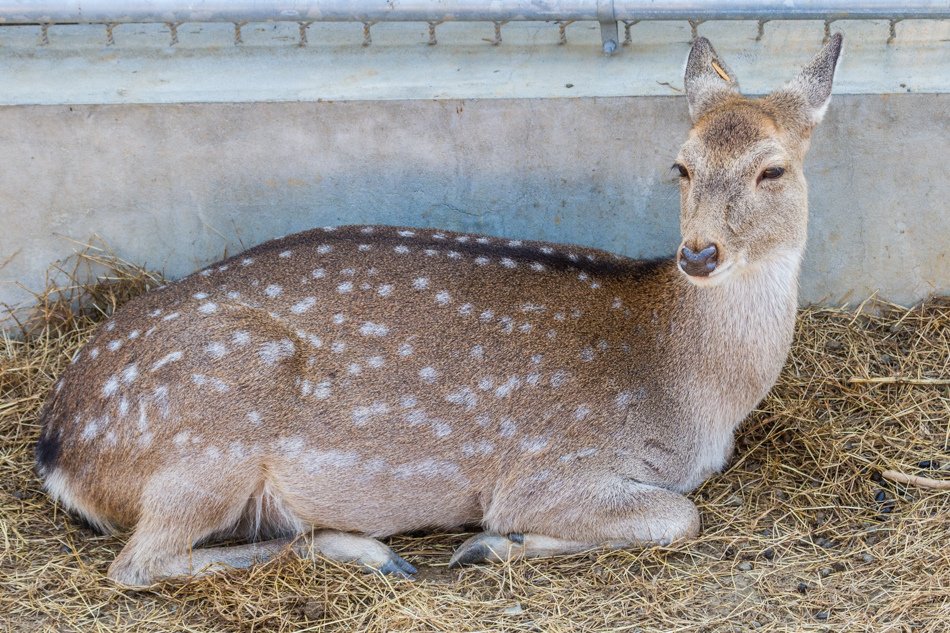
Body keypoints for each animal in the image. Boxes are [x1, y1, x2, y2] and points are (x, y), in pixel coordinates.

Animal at [33, 35, 844, 588]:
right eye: (680, 164)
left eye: (773, 169)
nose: (698, 253)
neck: (697, 392)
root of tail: (59, 448)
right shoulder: (550, 468)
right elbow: (680, 516)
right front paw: (490, 543)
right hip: (207, 442)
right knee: (139, 563)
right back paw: (372, 550)